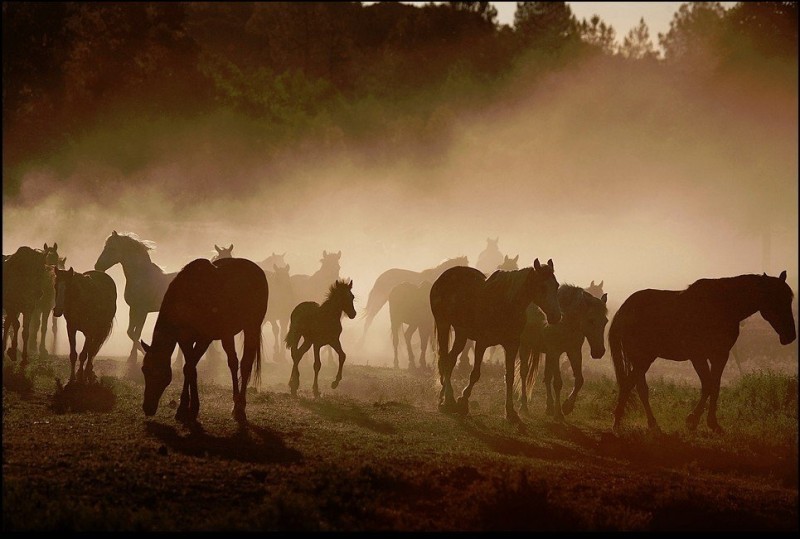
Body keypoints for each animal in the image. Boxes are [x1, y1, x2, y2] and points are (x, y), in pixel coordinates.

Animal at [94, 232, 178, 368]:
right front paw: (133, 358)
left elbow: (136, 333)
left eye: (112, 248)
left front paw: (135, 358)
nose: (97, 266)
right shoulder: (133, 309)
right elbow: (130, 332)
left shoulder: (142, 311)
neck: (141, 276)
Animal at [141, 258, 268, 426]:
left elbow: (190, 368)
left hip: (251, 327)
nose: (147, 408)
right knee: (233, 363)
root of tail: (258, 270)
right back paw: (235, 405)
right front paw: (184, 408)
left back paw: (240, 409)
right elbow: (189, 368)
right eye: (144, 369)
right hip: (227, 334)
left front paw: (191, 408)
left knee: (246, 365)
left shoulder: (204, 339)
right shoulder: (185, 340)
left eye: (158, 373)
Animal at [432, 260, 564, 424]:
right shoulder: (482, 343)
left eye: (556, 285)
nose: (556, 316)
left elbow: (510, 376)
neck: (505, 304)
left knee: (449, 361)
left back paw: (446, 399)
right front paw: (463, 401)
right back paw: (447, 400)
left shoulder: (512, 345)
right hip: (443, 325)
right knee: (444, 359)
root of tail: (443, 277)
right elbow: (475, 374)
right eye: (542, 286)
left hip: (461, 334)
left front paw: (511, 412)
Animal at [520, 284, 608, 420]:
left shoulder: (574, 352)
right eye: (591, 320)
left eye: (605, 321)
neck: (566, 320)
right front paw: (559, 413)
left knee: (546, 377)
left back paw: (549, 407)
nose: (599, 351)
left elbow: (579, 380)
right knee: (524, 373)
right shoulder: (556, 352)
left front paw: (567, 407)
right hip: (525, 346)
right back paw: (524, 406)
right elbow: (557, 383)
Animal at [612, 270, 792, 434]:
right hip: (642, 358)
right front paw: (693, 420)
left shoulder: (720, 355)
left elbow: (714, 386)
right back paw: (627, 422)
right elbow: (707, 385)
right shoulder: (698, 356)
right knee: (634, 385)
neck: (723, 305)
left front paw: (711, 423)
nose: (790, 336)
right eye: (776, 299)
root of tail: (623, 310)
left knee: (635, 385)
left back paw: (637, 422)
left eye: (789, 299)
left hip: (642, 359)